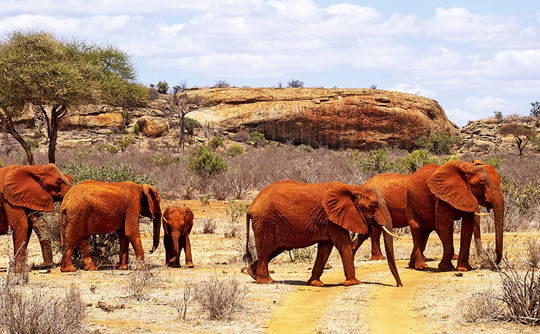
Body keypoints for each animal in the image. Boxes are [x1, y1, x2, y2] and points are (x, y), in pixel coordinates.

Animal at [243, 180, 402, 288]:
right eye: (374, 206)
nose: (399, 285)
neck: (354, 189)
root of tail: (251, 206)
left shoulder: (329, 219)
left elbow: (325, 248)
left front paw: (315, 283)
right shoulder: (331, 217)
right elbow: (342, 244)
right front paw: (354, 283)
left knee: (273, 250)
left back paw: (252, 274)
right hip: (265, 222)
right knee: (266, 249)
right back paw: (266, 281)